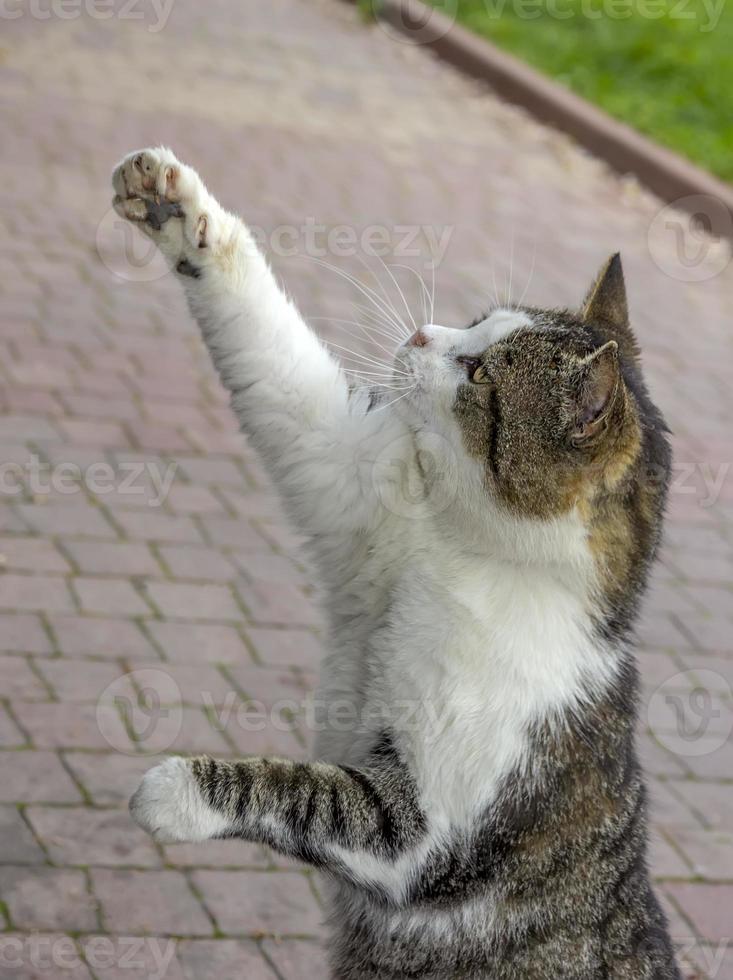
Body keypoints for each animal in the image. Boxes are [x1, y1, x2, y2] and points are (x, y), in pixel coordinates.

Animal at [114, 147, 680, 980]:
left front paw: (174, 791)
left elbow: (309, 795)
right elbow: (273, 356)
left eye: (479, 373)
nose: (418, 335)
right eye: (474, 321)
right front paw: (174, 206)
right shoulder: (343, 477)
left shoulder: (420, 824)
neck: (462, 555)